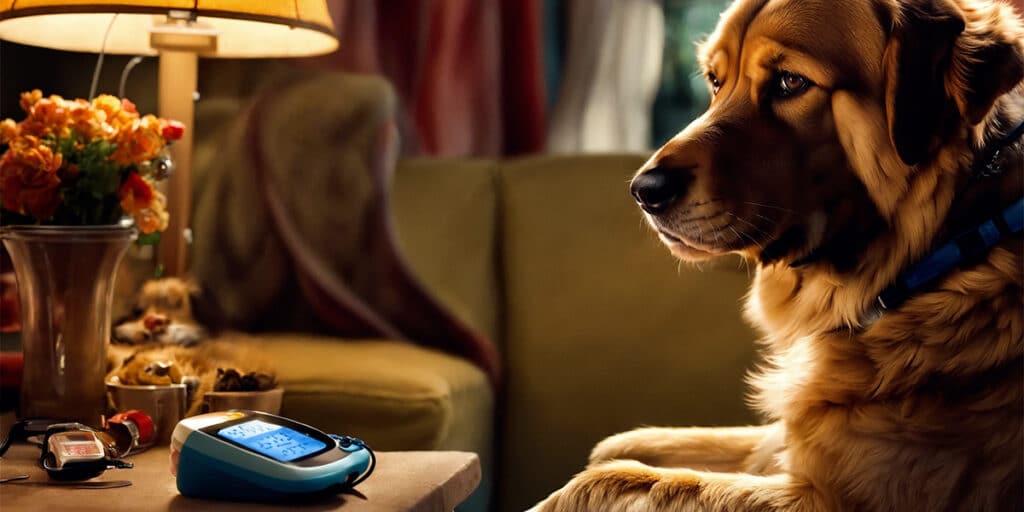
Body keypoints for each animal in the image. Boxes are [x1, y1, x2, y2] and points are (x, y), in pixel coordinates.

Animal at [532, 1, 1019, 512]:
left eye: (790, 82)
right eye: (715, 81)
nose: (645, 191)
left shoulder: (835, 495)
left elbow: (616, 478)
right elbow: (621, 447)